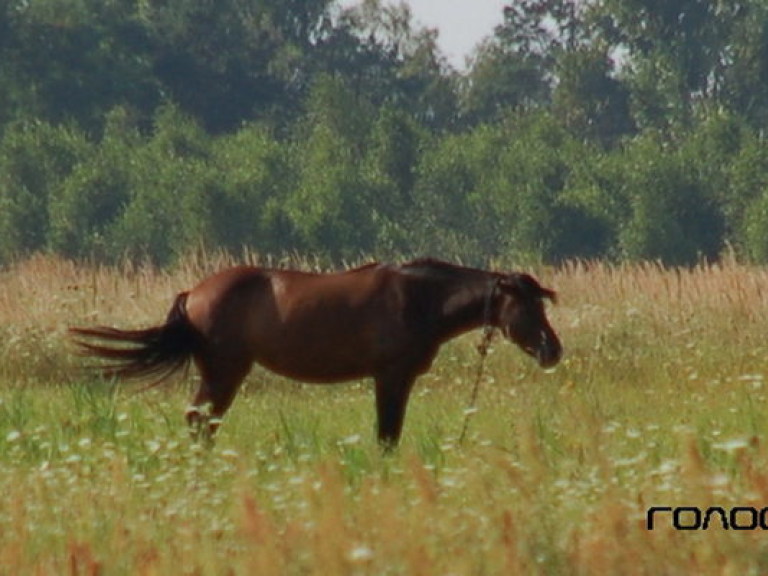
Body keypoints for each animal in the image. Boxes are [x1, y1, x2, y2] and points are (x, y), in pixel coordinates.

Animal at [70, 258, 564, 450]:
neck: (419, 298)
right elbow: (387, 433)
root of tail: (194, 292)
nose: (552, 351)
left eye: (541, 303)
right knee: (200, 417)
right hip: (224, 371)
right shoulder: (390, 376)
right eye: (527, 306)